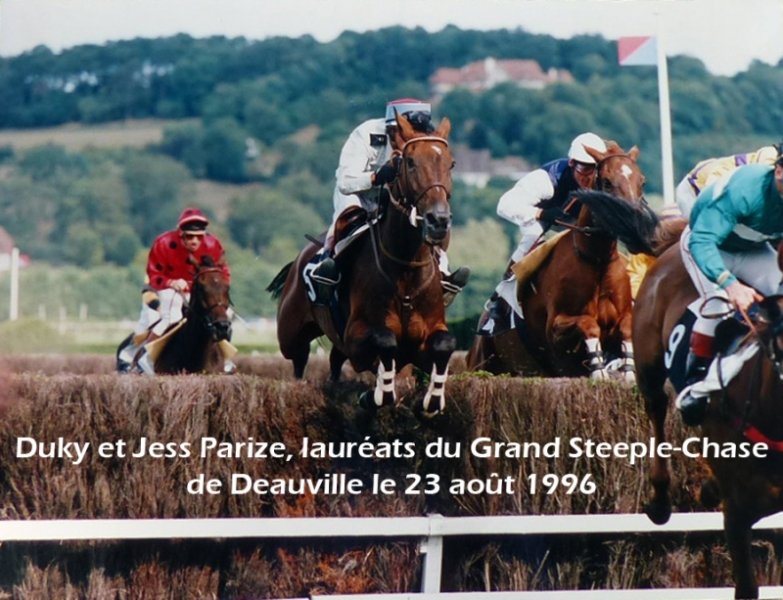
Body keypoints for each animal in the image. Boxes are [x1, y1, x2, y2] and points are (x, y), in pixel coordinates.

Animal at [269, 113, 456, 415]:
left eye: (450, 163)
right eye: (410, 162)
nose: (438, 220)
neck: (405, 270)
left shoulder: (427, 335)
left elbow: (444, 343)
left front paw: (432, 399)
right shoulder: (356, 338)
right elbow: (385, 342)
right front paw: (375, 394)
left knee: (333, 360)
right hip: (290, 334)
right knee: (299, 359)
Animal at [466, 143, 655, 380]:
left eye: (642, 181)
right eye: (607, 181)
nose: (636, 227)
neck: (596, 261)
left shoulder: (624, 317)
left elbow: (627, 329)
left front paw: (628, 372)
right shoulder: (556, 330)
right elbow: (587, 323)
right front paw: (599, 370)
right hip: (483, 363)